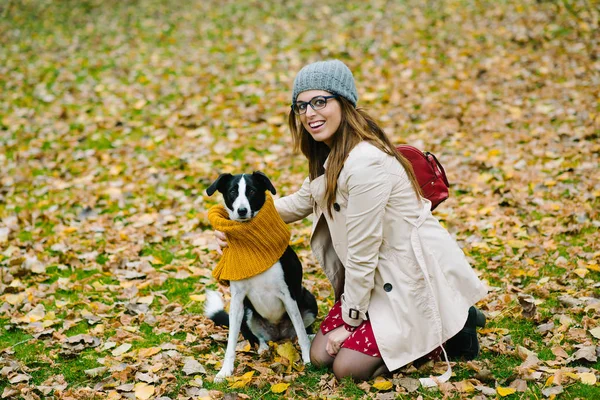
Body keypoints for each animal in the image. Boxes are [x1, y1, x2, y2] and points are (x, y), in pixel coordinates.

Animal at [205, 172, 318, 382]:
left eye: (252, 191)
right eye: (232, 191)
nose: (242, 211)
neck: (252, 249)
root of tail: (279, 336)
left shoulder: (288, 296)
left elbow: (300, 331)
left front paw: (308, 359)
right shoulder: (237, 300)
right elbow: (231, 342)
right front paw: (225, 371)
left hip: (308, 298)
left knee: (301, 333)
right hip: (247, 313)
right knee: (256, 338)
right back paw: (264, 348)